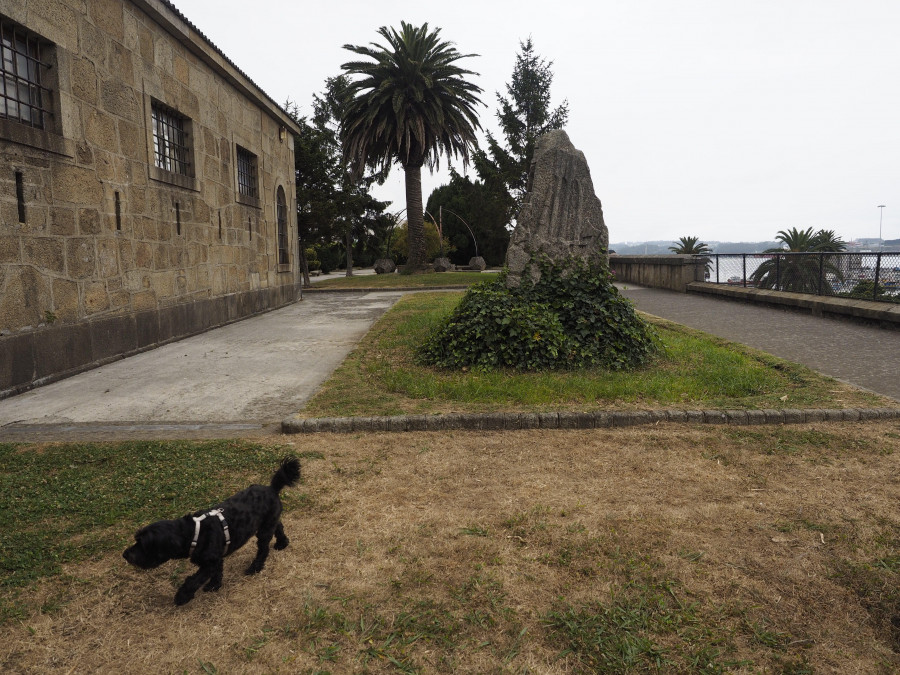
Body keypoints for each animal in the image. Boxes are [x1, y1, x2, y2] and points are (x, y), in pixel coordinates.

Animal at [122, 456, 302, 604]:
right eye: (136, 540)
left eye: (143, 545)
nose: (125, 554)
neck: (194, 533)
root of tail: (272, 488)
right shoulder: (217, 557)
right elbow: (217, 572)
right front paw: (214, 586)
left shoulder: (209, 562)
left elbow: (193, 580)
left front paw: (182, 597)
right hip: (268, 522)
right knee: (279, 526)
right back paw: (282, 543)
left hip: (264, 531)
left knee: (263, 549)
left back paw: (255, 568)